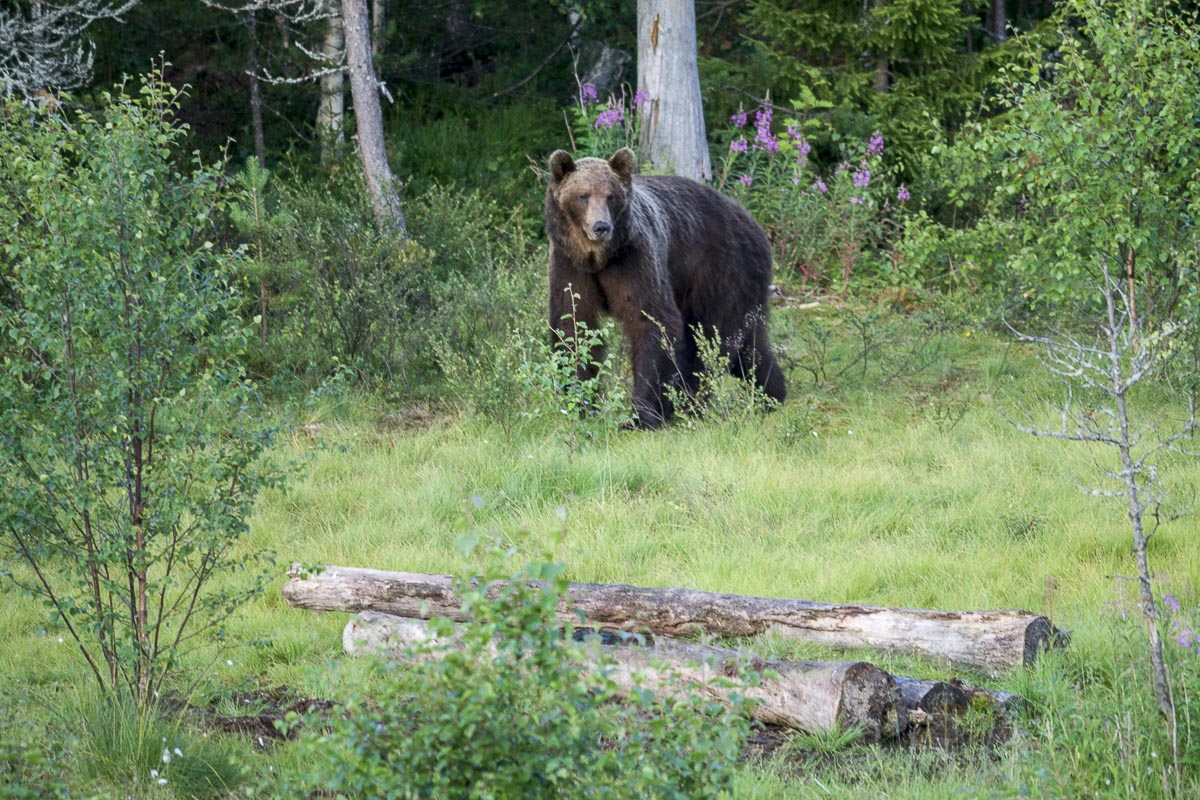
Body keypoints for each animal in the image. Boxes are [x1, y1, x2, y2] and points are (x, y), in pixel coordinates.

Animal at [545, 147, 786, 428]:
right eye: (582, 196)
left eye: (610, 196)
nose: (601, 227)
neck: (598, 258)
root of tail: (753, 222)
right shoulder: (570, 266)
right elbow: (573, 324)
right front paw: (580, 402)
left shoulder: (635, 260)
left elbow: (651, 319)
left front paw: (639, 416)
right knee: (747, 345)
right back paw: (771, 392)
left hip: (724, 272)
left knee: (715, 340)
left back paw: (692, 402)